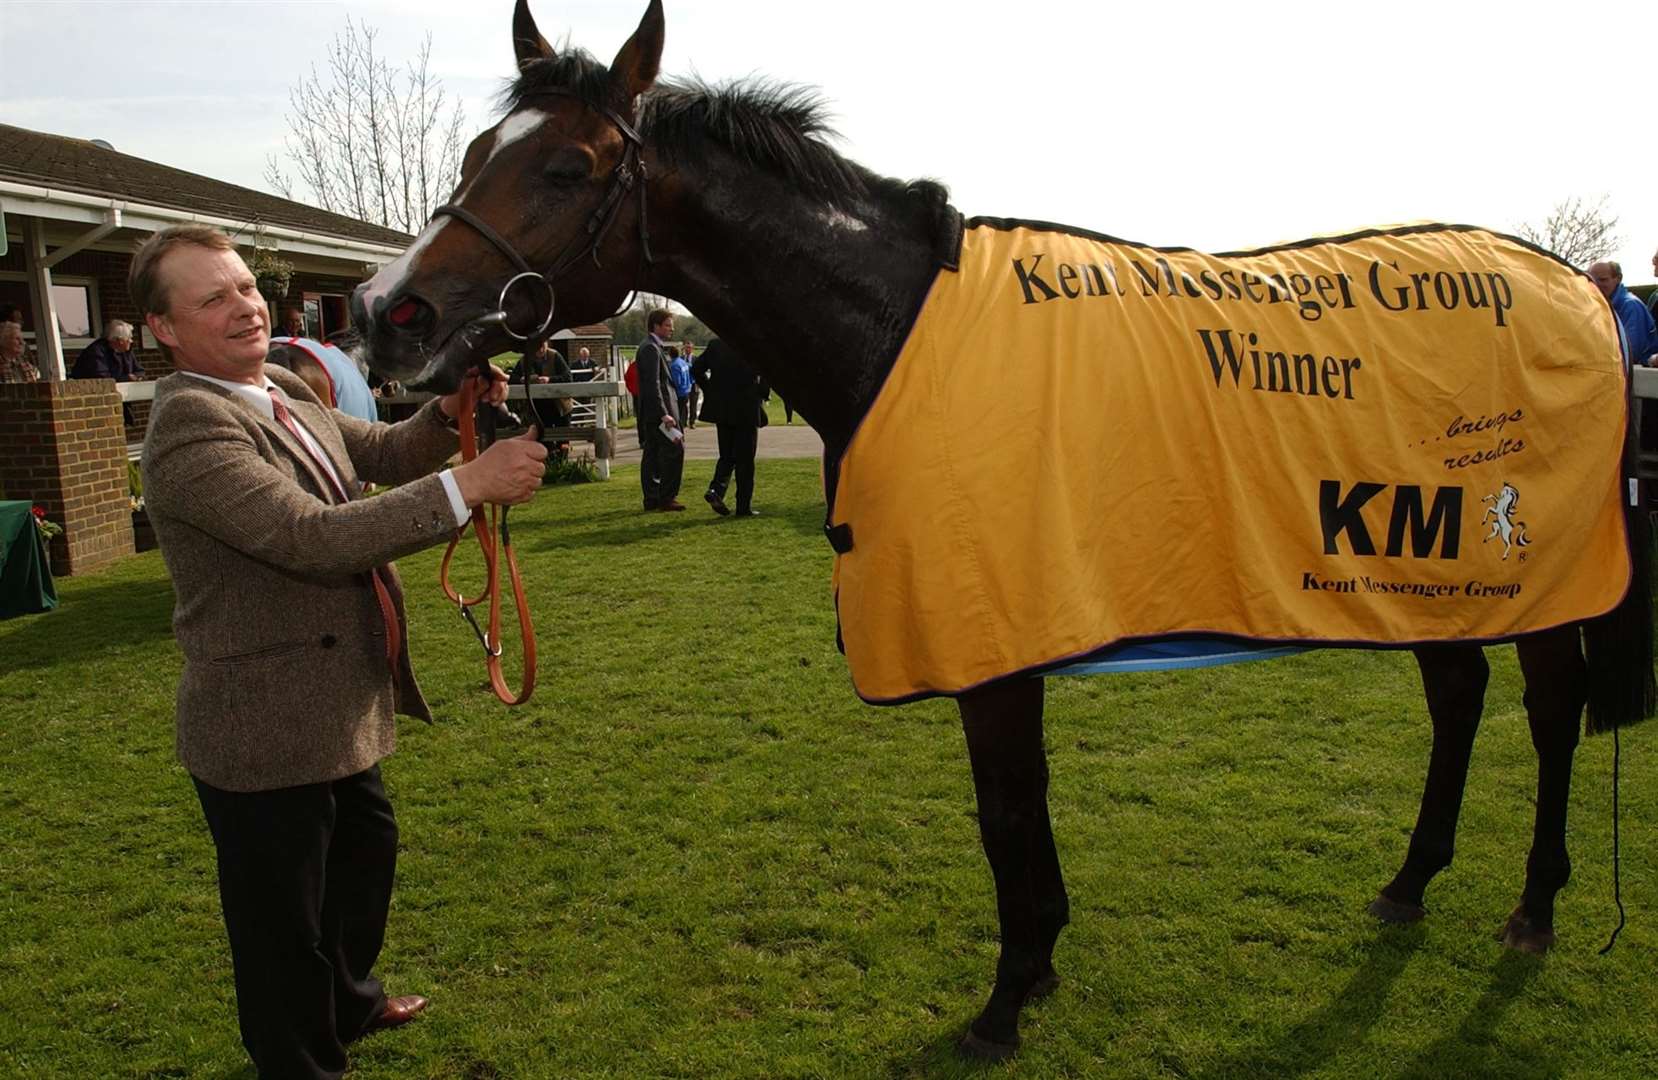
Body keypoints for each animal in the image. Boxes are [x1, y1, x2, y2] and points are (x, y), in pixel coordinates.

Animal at [349, 0, 1644, 1061]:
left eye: (565, 167)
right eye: (475, 158)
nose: (384, 313)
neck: (896, 329)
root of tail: (1574, 292)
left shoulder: (991, 643)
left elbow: (1005, 811)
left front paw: (1009, 996)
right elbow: (1018, 814)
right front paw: (1040, 965)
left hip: (1532, 583)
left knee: (1545, 714)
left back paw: (1532, 907)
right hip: (1420, 575)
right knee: (1456, 699)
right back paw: (1409, 882)